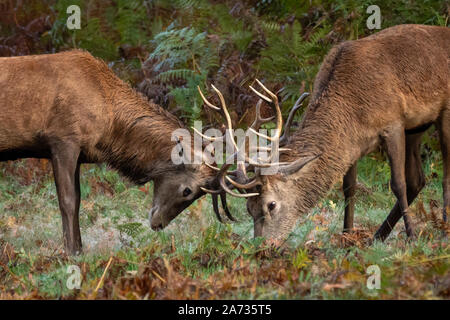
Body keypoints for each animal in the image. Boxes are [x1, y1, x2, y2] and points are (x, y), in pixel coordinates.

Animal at [0, 50, 218, 255]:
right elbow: (67, 201)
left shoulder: (78, 153)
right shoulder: (62, 139)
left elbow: (78, 200)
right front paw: (71, 252)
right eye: (187, 191)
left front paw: (79, 249)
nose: (158, 224)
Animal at [205, 25, 450, 242]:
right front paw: (347, 236)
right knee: (418, 179)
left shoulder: (393, 124)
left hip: (443, 113)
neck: (354, 109)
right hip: (417, 127)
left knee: (442, 176)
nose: (262, 245)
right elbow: (349, 188)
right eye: (249, 208)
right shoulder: (355, 141)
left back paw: (443, 230)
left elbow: (398, 184)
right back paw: (379, 235)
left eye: (271, 205)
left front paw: (411, 237)